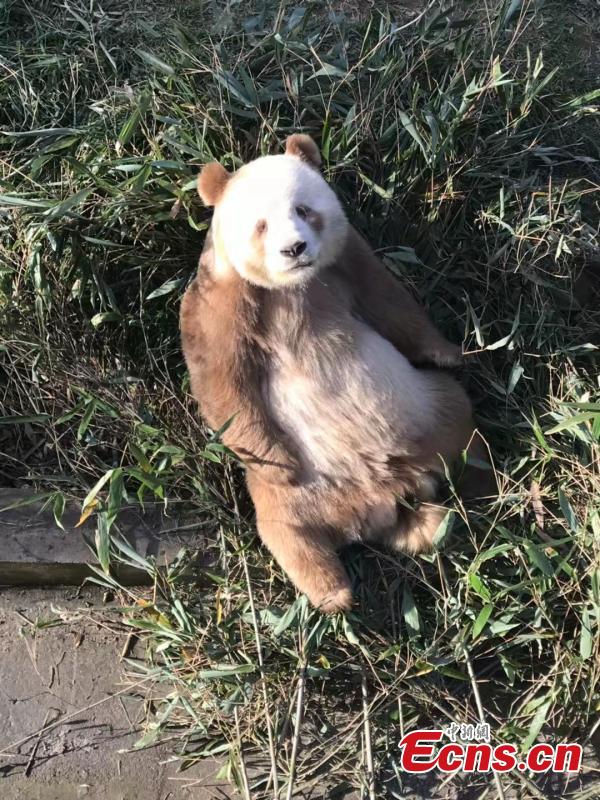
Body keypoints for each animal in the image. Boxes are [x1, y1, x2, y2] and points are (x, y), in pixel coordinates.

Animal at [179, 136, 488, 612]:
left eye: (304, 209)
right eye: (261, 225)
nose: (295, 249)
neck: (292, 289)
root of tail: (383, 499)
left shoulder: (346, 262)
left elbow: (391, 304)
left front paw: (449, 352)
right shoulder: (223, 300)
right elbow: (222, 382)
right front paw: (279, 463)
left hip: (423, 411)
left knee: (458, 414)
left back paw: (472, 487)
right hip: (303, 488)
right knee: (284, 527)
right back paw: (333, 593)